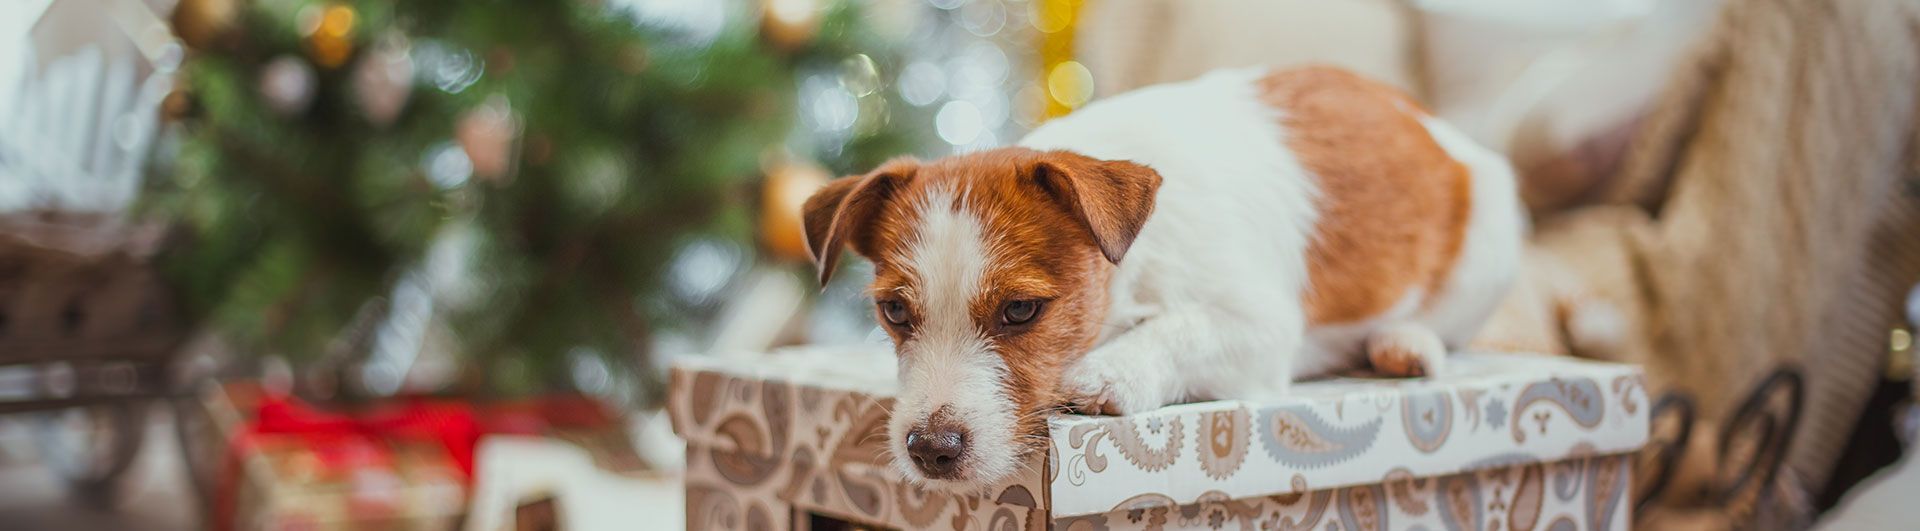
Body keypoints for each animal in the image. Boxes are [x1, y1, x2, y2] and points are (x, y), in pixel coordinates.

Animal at [802, 66, 1520, 486]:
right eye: (896, 312)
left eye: (1020, 311)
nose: (930, 449)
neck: (1134, 265)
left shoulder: (1261, 325)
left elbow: (1185, 327)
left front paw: (1108, 372)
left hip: (1487, 240)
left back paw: (1405, 342)